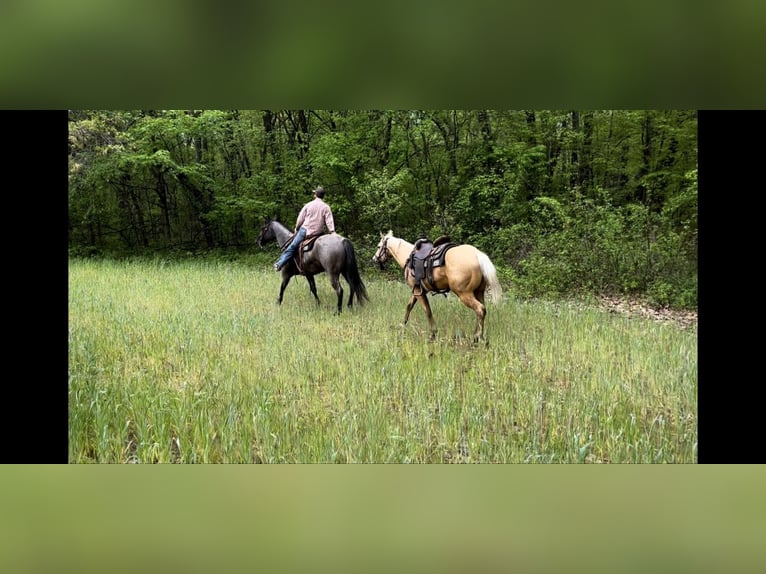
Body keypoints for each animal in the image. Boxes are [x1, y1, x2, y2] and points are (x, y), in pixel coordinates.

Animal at [372, 230, 502, 343]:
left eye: (378, 246)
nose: (374, 258)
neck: (408, 258)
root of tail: (477, 255)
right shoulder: (416, 291)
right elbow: (409, 307)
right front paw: (401, 326)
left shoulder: (418, 291)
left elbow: (427, 310)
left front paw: (432, 334)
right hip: (479, 292)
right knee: (482, 310)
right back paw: (480, 336)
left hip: (464, 294)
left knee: (479, 309)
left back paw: (476, 337)